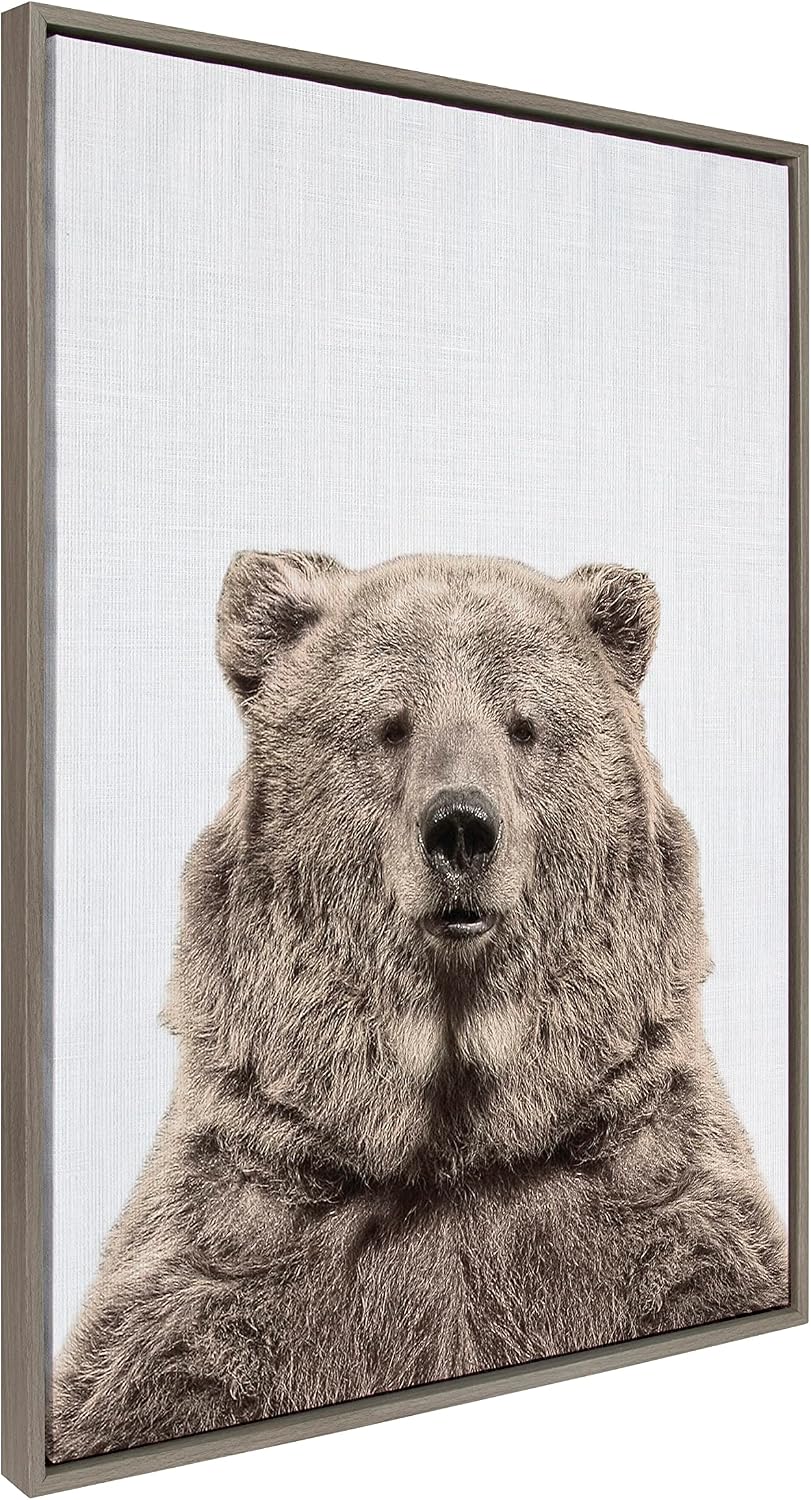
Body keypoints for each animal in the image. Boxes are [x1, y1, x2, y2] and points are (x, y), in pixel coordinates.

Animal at [48, 551, 788, 1462]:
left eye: (523, 725)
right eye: (391, 724)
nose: (462, 829)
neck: (450, 1142)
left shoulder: (660, 1207)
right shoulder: (226, 1258)